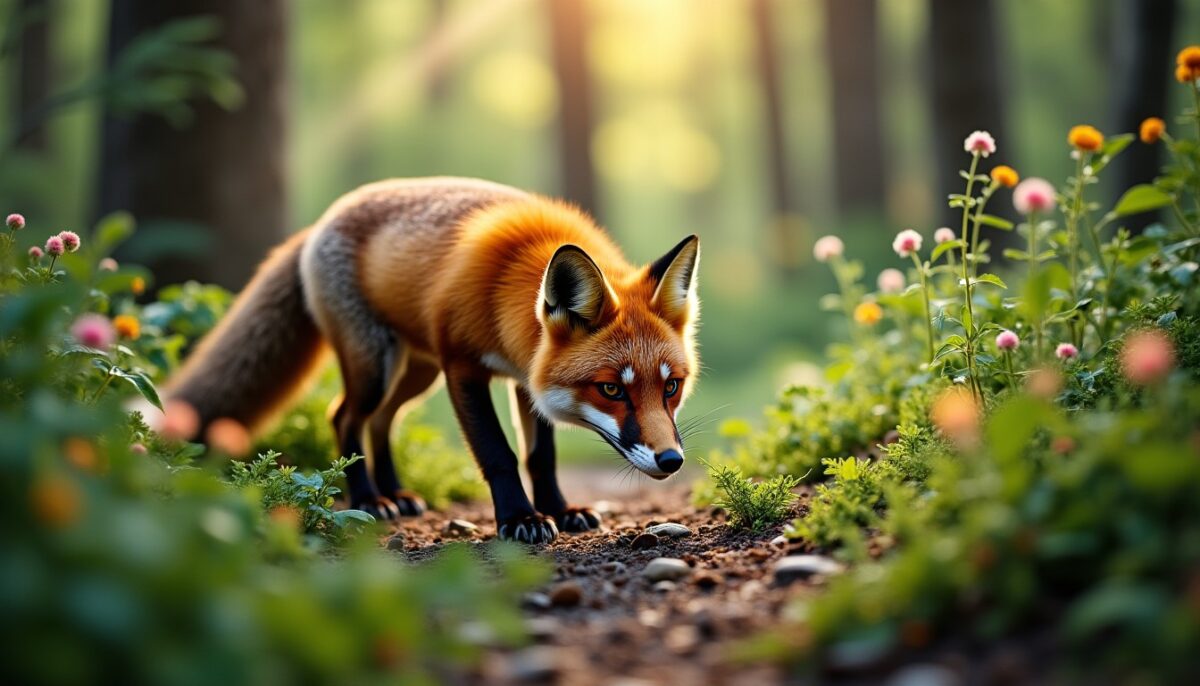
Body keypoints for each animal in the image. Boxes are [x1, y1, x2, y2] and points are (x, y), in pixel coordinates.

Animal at [164, 177, 700, 544]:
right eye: (611, 388)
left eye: (671, 387)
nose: (671, 461)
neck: (507, 289)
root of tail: (323, 220)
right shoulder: (462, 368)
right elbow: (499, 453)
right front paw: (521, 518)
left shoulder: (526, 380)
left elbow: (540, 456)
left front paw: (561, 510)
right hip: (376, 367)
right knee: (343, 417)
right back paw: (369, 499)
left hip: (414, 374)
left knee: (381, 422)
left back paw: (397, 495)